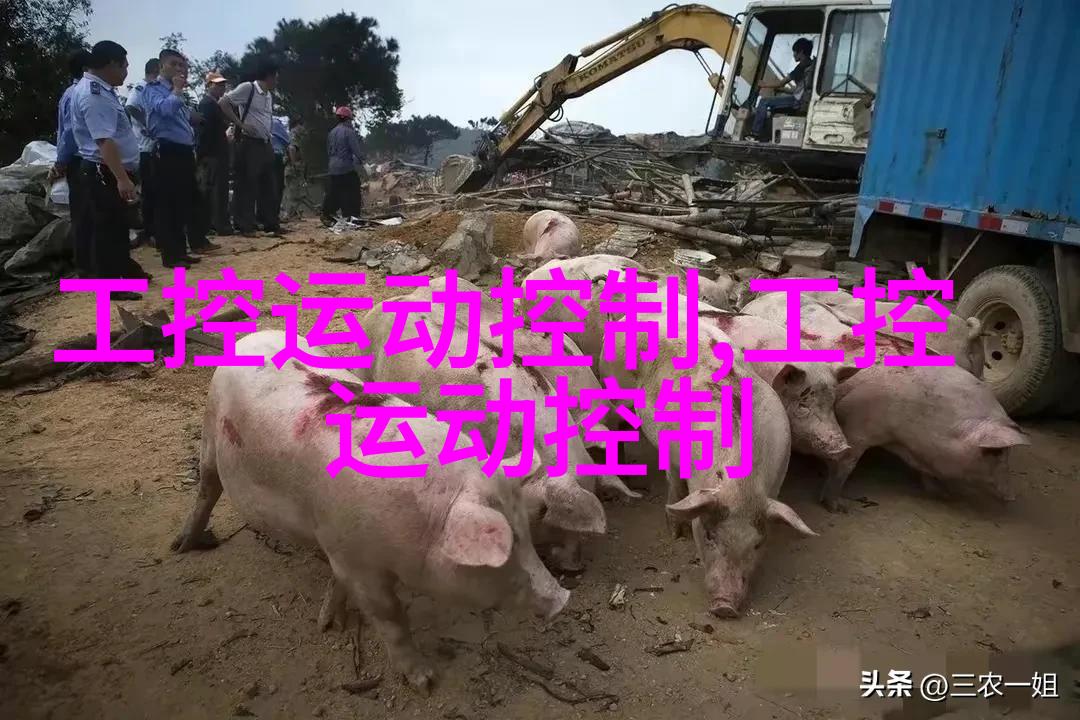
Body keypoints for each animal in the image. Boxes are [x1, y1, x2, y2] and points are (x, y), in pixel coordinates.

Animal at [172, 330, 568, 692]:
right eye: (506, 547)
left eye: (525, 531)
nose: (562, 599)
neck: (427, 523)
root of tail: (251, 336)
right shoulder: (357, 561)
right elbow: (391, 617)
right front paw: (424, 681)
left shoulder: (337, 545)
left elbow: (339, 584)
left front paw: (330, 624)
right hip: (210, 432)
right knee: (206, 489)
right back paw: (182, 547)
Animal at [599, 305, 817, 618]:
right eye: (710, 534)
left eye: (758, 544)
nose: (725, 607)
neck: (739, 485)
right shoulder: (673, 456)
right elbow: (675, 489)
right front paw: (675, 533)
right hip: (613, 388)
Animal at [821, 364, 1030, 512]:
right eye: (998, 453)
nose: (1013, 497)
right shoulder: (857, 426)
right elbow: (845, 465)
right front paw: (840, 507)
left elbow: (926, 473)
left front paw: (944, 495)